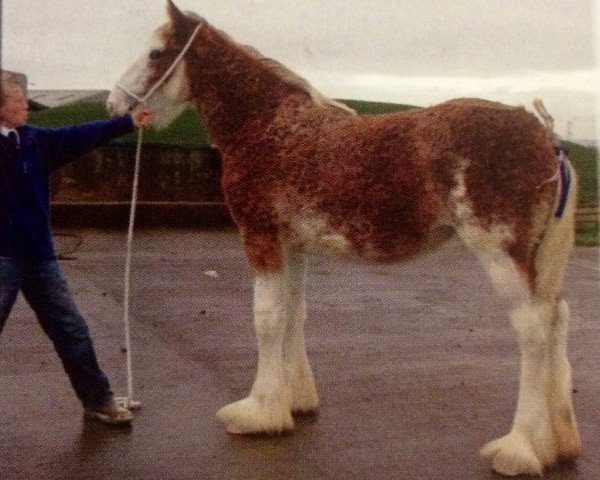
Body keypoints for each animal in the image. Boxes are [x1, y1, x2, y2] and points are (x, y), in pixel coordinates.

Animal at [106, 1, 580, 476]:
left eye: (156, 53)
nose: (115, 104)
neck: (268, 126)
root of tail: (544, 137)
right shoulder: (293, 245)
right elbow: (293, 313)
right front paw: (294, 401)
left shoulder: (261, 238)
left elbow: (266, 318)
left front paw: (257, 412)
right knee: (557, 318)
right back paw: (557, 444)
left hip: (499, 254)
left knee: (534, 331)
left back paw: (518, 448)